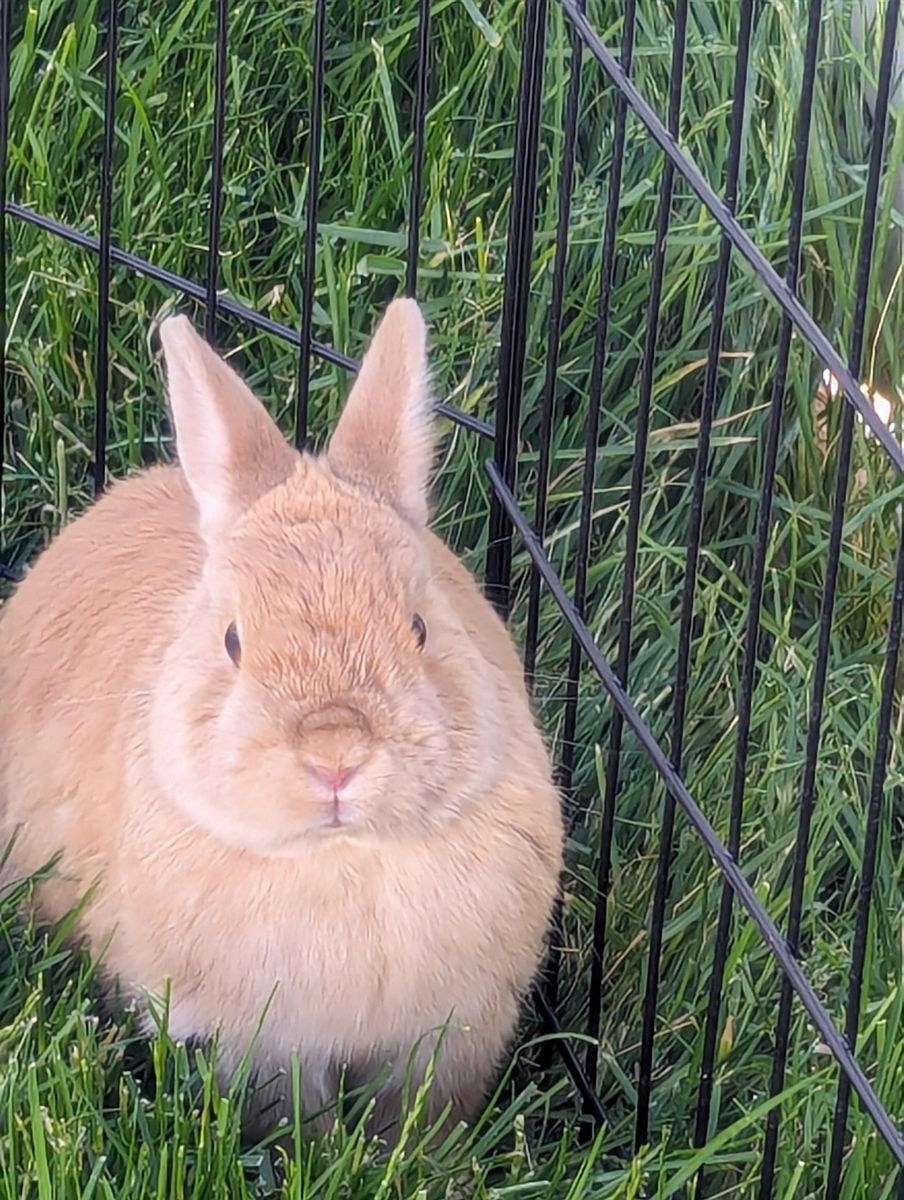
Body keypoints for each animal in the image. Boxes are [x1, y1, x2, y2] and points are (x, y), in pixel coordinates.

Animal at [0, 299, 563, 1140]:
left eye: (420, 627)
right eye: (234, 640)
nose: (336, 753)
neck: (342, 857)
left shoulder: (450, 1038)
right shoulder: (259, 1046)